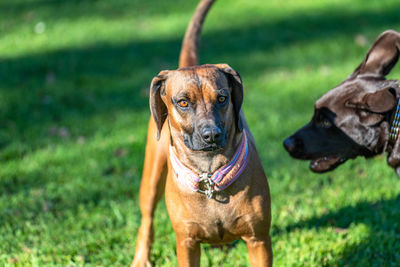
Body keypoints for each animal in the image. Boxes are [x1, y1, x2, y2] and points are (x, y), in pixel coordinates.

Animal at [131, 1, 272, 266]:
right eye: (183, 102)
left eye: (222, 98)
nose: (211, 135)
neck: (209, 175)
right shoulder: (186, 243)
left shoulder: (258, 239)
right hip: (151, 176)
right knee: (147, 220)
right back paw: (141, 257)